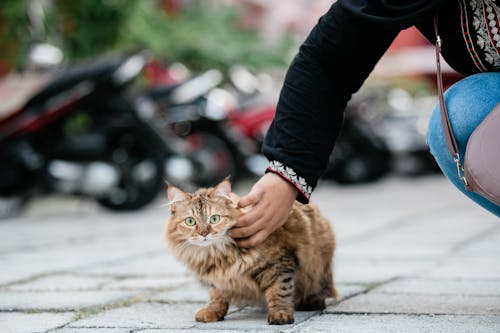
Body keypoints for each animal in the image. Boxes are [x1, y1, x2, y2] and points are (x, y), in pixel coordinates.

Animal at [166, 179, 338, 324]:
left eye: (214, 219)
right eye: (190, 221)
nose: (203, 233)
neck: (217, 255)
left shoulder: (279, 264)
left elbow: (279, 290)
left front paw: (280, 314)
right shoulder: (218, 277)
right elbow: (217, 295)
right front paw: (213, 311)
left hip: (319, 267)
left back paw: (310, 302)